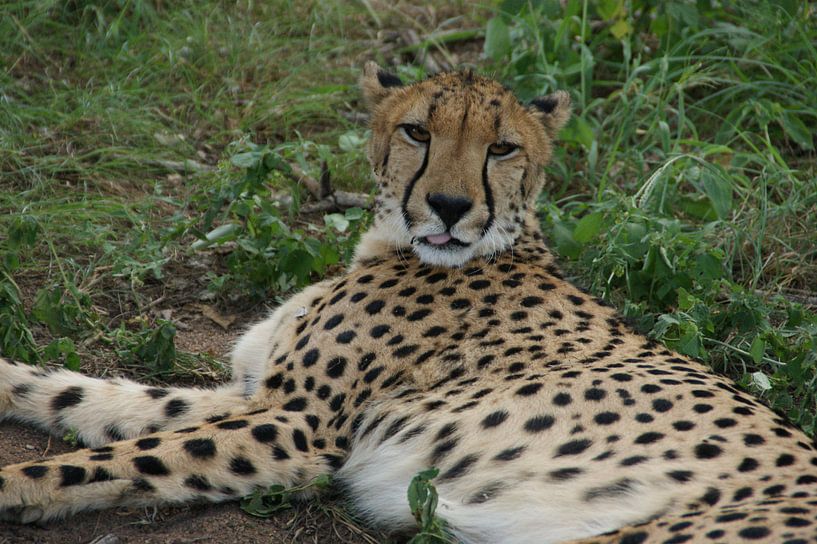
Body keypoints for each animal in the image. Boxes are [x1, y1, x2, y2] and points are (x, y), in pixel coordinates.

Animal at [1, 61, 816, 540]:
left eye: (502, 148)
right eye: (417, 131)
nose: (451, 206)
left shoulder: (297, 428)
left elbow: (109, 457)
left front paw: (13, 487)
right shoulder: (261, 394)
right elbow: (98, 401)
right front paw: (15, 383)